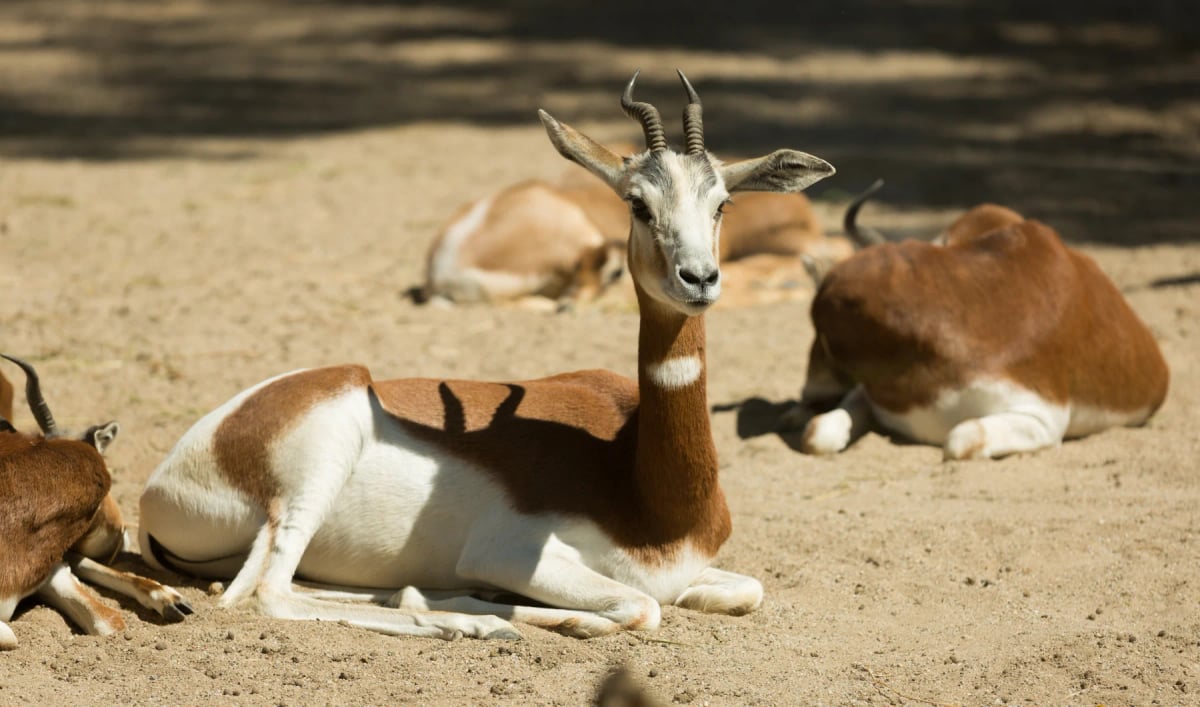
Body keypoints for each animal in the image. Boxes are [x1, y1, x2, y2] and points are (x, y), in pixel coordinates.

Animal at [138, 71, 834, 640]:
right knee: (271, 596)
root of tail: (168, 473)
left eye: (723, 203)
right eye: (637, 203)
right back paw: (470, 623)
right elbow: (640, 606)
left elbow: (747, 589)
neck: (645, 491)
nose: (700, 279)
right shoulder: (510, 552)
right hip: (320, 466)